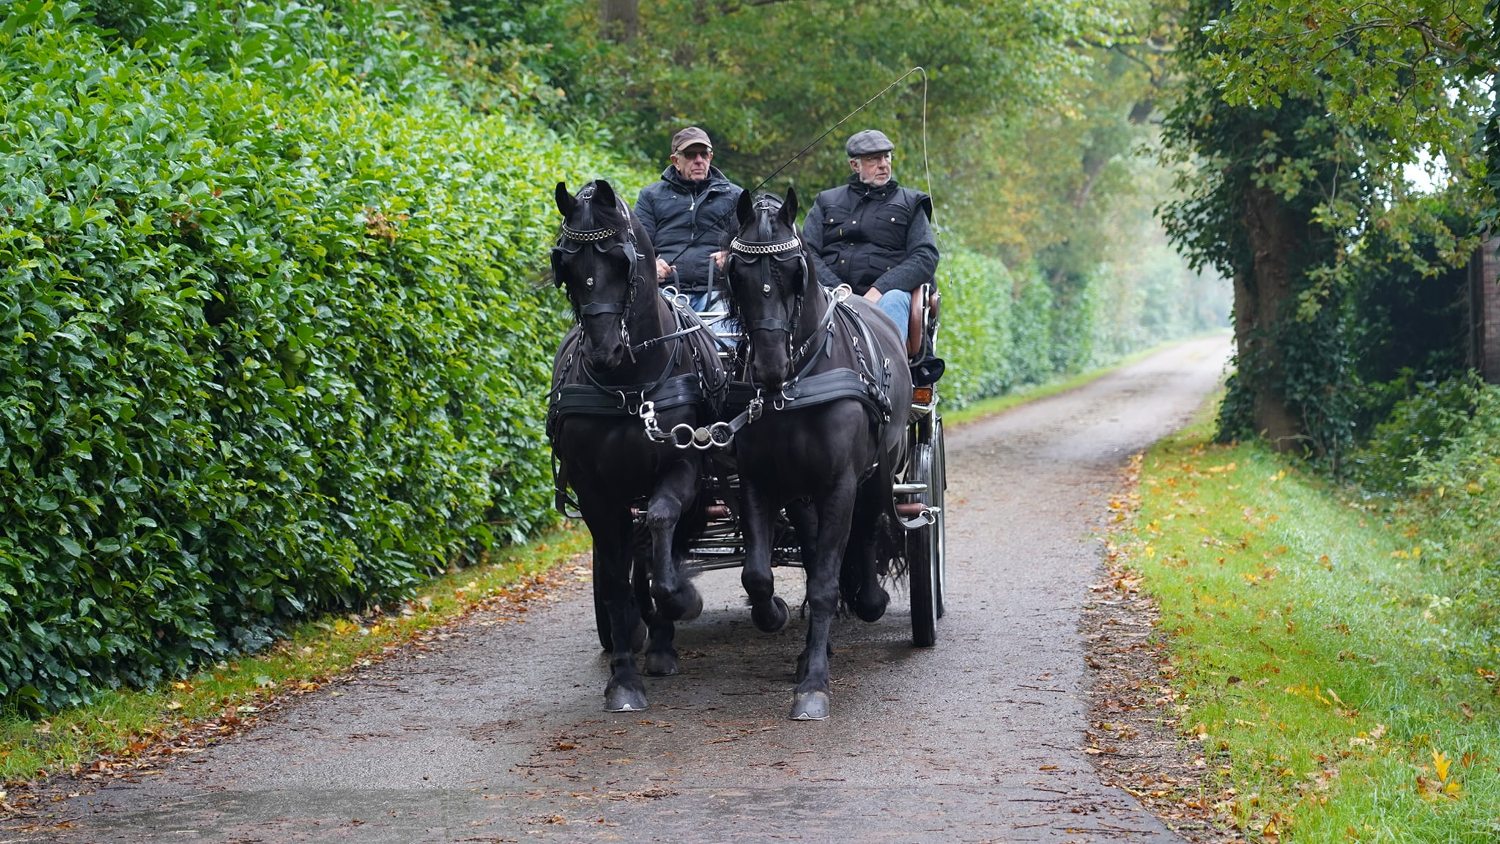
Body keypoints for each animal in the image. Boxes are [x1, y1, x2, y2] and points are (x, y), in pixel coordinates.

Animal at [552, 178, 726, 713]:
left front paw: (681, 602)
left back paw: (663, 635)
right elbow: (612, 575)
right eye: (565, 264)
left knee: (657, 543)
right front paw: (624, 678)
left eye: (620, 261)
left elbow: (664, 528)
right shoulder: (594, 491)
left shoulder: (683, 469)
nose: (602, 350)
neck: (630, 384)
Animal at [717, 189, 912, 719]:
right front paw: (775, 618)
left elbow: (825, 582)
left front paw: (814, 686)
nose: (769, 367)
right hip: (803, 494)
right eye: (737, 272)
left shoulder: (841, 483)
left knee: (865, 530)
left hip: (877, 473)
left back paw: (868, 601)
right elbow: (758, 574)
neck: (796, 385)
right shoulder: (760, 481)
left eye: (792, 270)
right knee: (811, 547)